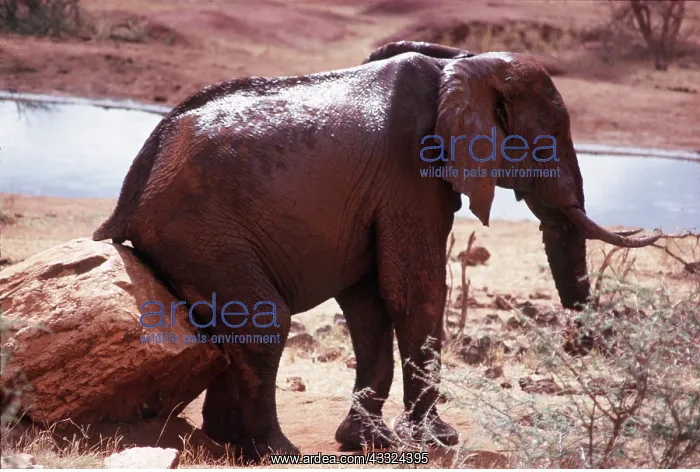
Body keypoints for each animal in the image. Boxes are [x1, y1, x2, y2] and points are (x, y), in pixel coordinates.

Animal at [93, 40, 660, 459]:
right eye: (551, 139)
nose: (582, 348)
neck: (461, 65)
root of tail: (137, 177)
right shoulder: (411, 172)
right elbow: (414, 291)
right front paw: (437, 440)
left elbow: (369, 302)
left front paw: (368, 441)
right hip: (197, 231)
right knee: (264, 320)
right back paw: (275, 452)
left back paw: (228, 442)